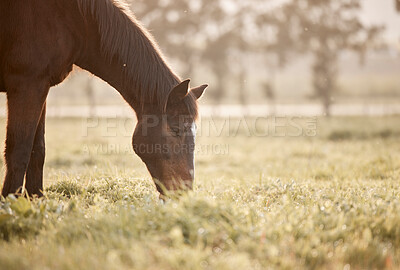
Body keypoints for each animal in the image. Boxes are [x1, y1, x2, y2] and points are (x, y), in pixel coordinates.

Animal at [0, 0, 209, 196]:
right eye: (176, 129)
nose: (183, 192)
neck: (74, 20)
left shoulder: (41, 87)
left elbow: (38, 150)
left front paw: (36, 198)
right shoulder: (28, 85)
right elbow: (19, 150)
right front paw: (11, 202)